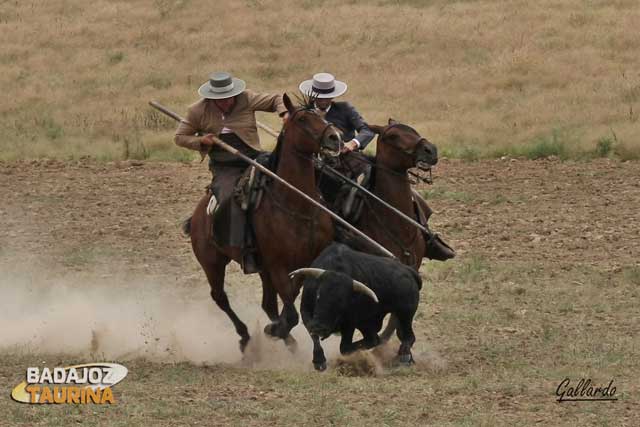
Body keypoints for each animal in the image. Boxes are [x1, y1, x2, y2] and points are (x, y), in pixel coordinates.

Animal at [188, 95, 342, 352]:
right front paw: (276, 329)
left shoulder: (304, 264)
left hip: (260, 269)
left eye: (321, 116)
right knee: (221, 298)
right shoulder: (277, 266)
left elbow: (291, 303)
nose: (335, 137)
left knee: (267, 304)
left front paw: (279, 329)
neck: (298, 205)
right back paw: (245, 337)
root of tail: (198, 215)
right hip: (212, 263)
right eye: (302, 119)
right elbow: (291, 313)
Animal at [288, 244, 420, 372]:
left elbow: (344, 348)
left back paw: (404, 356)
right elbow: (315, 337)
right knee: (380, 338)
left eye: (341, 302)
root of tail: (409, 270)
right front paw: (319, 361)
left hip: (405, 314)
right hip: (371, 322)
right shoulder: (306, 314)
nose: (320, 327)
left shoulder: (349, 323)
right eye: (318, 295)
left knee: (406, 337)